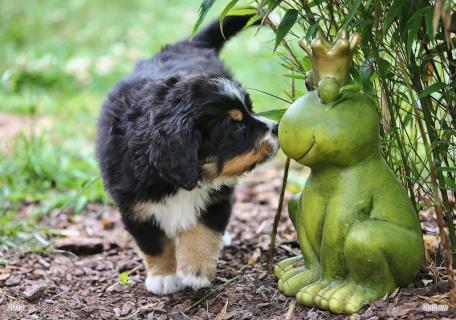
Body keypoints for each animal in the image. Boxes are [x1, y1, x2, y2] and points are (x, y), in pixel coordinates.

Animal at [96, 15, 278, 296]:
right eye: (236, 125)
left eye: (250, 109)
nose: (277, 127)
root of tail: (187, 44)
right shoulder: (135, 207)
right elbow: (154, 243)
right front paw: (163, 276)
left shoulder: (216, 197)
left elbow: (203, 229)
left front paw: (196, 271)